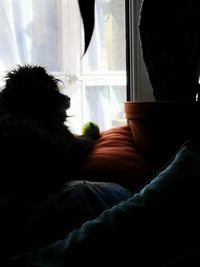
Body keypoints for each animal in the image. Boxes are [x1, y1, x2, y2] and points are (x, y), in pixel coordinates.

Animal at [0, 65, 94, 199]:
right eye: (53, 87)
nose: (68, 98)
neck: (18, 108)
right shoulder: (72, 142)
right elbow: (87, 138)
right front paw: (92, 130)